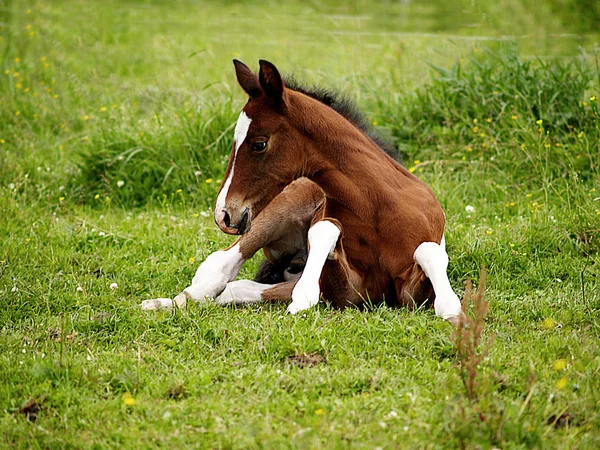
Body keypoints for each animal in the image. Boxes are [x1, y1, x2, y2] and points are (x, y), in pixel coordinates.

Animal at [143, 59, 462, 326]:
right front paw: (303, 300)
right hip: (278, 207)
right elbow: (325, 229)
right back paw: (164, 302)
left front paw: (451, 308)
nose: (223, 213)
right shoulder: (350, 291)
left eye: (259, 144)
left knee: (236, 288)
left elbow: (428, 251)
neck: (377, 207)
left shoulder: (406, 293)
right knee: (219, 267)